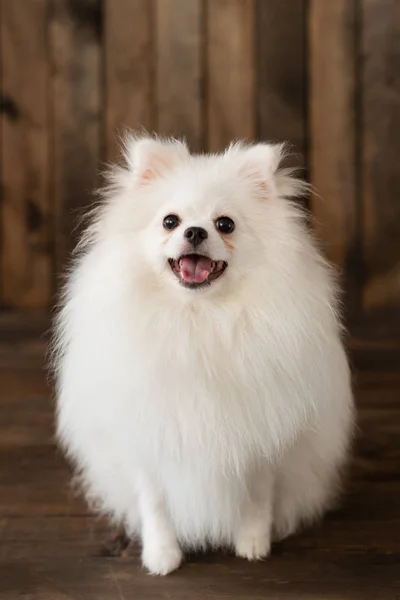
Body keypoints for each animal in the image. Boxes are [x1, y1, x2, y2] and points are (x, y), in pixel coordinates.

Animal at [52, 134, 354, 576]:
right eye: (170, 221)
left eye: (225, 224)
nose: (195, 231)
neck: (198, 318)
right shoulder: (148, 435)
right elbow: (155, 504)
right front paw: (161, 556)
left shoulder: (261, 436)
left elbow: (257, 497)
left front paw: (253, 543)